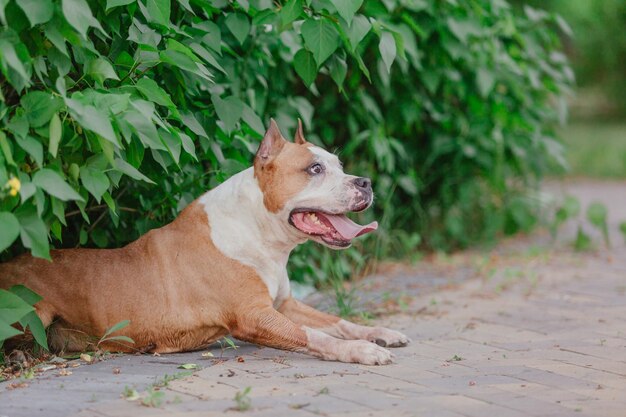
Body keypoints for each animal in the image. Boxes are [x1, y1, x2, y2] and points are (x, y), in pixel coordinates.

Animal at [0, 120, 408, 364]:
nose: (365, 183)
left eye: (339, 167)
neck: (259, 232)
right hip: (30, 309)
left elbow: (337, 321)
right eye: (315, 169)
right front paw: (360, 350)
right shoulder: (255, 316)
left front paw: (379, 332)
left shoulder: (284, 304)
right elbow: (314, 335)